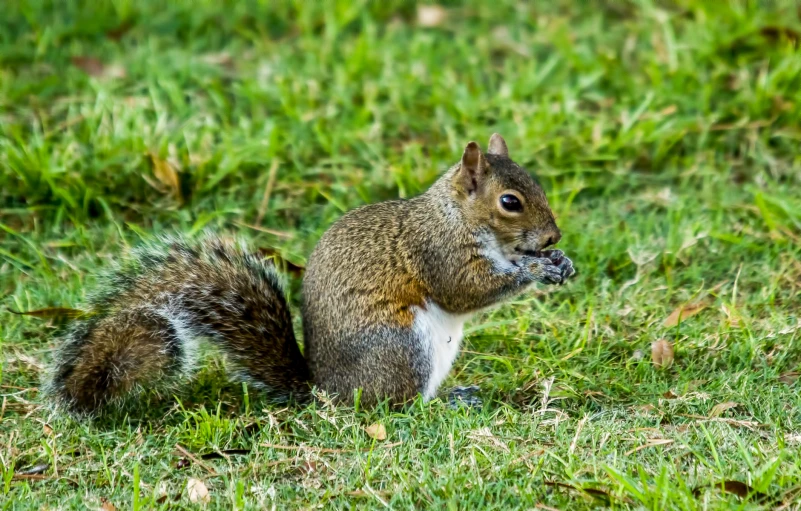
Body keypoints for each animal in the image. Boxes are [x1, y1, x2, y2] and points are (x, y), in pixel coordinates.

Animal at [45, 135, 576, 416]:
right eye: (510, 201)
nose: (553, 236)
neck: (457, 216)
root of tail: (326, 391)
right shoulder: (437, 252)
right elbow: (466, 291)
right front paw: (533, 268)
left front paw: (560, 262)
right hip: (402, 346)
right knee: (394, 405)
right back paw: (441, 405)